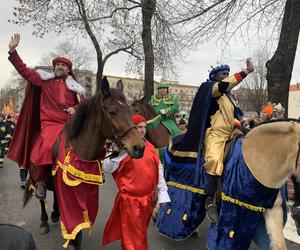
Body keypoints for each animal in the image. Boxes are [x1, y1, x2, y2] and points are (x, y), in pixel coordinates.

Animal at [25, 77, 145, 249]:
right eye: (112, 112)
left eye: (130, 110)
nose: (139, 147)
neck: (81, 152)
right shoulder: (68, 193)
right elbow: (73, 221)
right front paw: (72, 238)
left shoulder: (86, 192)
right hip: (36, 176)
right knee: (41, 196)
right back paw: (44, 221)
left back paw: (55, 214)